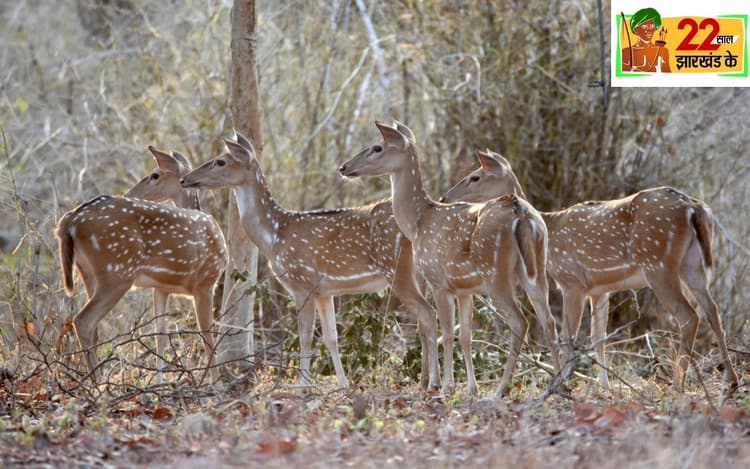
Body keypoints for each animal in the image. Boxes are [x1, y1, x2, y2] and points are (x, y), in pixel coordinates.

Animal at [55, 148, 228, 385]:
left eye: (155, 175)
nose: (128, 193)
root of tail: (69, 222)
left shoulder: (162, 288)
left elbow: (161, 335)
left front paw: (160, 383)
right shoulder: (205, 281)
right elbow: (207, 334)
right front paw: (216, 384)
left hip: (88, 272)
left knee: (93, 327)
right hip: (117, 272)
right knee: (83, 321)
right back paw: (98, 384)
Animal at [179, 131, 442, 392]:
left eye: (221, 161)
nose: (185, 179)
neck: (274, 236)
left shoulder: (301, 282)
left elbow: (305, 334)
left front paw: (302, 383)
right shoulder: (324, 290)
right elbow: (330, 336)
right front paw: (342, 383)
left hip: (397, 269)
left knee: (428, 314)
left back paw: (432, 383)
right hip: (419, 274)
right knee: (423, 320)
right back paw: (423, 380)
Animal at [338, 121, 561, 397]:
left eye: (377, 147)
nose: (344, 167)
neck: (417, 223)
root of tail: (522, 213)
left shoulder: (439, 281)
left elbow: (445, 330)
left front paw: (444, 387)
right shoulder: (465, 289)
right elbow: (464, 335)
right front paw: (470, 389)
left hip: (495, 274)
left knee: (520, 323)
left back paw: (501, 390)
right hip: (537, 270)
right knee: (549, 321)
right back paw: (558, 383)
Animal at [439, 150, 739, 392]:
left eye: (476, 176)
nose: (445, 196)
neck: (550, 229)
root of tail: (696, 208)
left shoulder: (572, 282)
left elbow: (569, 337)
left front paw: (564, 381)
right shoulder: (600, 288)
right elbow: (598, 337)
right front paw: (603, 386)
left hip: (659, 264)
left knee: (688, 316)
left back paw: (678, 383)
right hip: (693, 264)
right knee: (712, 310)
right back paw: (731, 380)